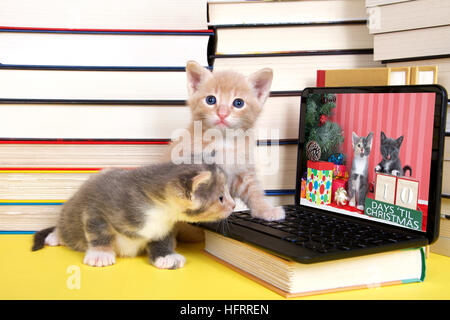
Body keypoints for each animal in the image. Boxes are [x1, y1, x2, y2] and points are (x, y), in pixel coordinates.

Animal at [32, 162, 236, 270]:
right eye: (221, 197)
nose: (234, 205)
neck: (159, 210)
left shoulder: (164, 226)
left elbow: (163, 240)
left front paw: (166, 256)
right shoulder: (97, 207)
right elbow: (98, 231)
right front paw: (100, 253)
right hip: (69, 214)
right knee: (65, 228)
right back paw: (55, 236)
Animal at [165, 60, 284, 240]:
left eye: (238, 103)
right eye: (211, 99)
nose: (222, 113)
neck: (223, 141)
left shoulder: (242, 170)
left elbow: (254, 191)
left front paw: (266, 210)